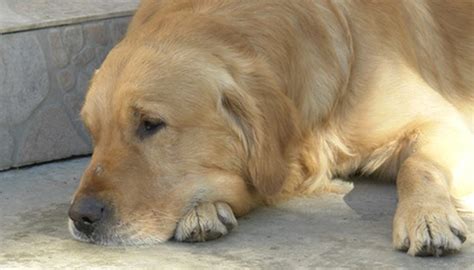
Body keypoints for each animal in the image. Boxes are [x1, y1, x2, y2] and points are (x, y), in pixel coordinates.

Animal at [67, 0, 474, 256]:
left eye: (151, 124)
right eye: (93, 133)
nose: (80, 217)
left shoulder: (445, 121)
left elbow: (417, 166)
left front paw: (427, 216)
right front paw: (204, 210)